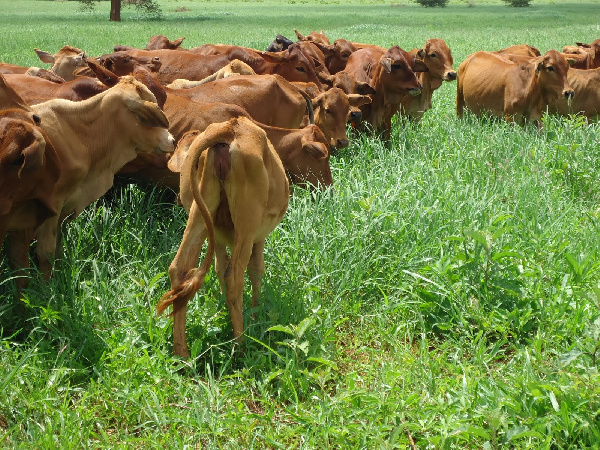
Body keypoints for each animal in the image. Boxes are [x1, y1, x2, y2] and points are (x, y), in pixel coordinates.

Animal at [29, 75, 175, 276]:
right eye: (145, 118)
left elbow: (58, 247)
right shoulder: (51, 206)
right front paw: (46, 283)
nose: (173, 141)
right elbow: (46, 252)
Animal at [156, 118, 290, 356]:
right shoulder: (258, 237)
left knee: (179, 268)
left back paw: (181, 353)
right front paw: (256, 315)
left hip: (200, 211)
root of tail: (229, 127)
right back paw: (241, 345)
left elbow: (219, 267)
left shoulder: (217, 239)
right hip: (246, 223)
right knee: (234, 275)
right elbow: (256, 270)